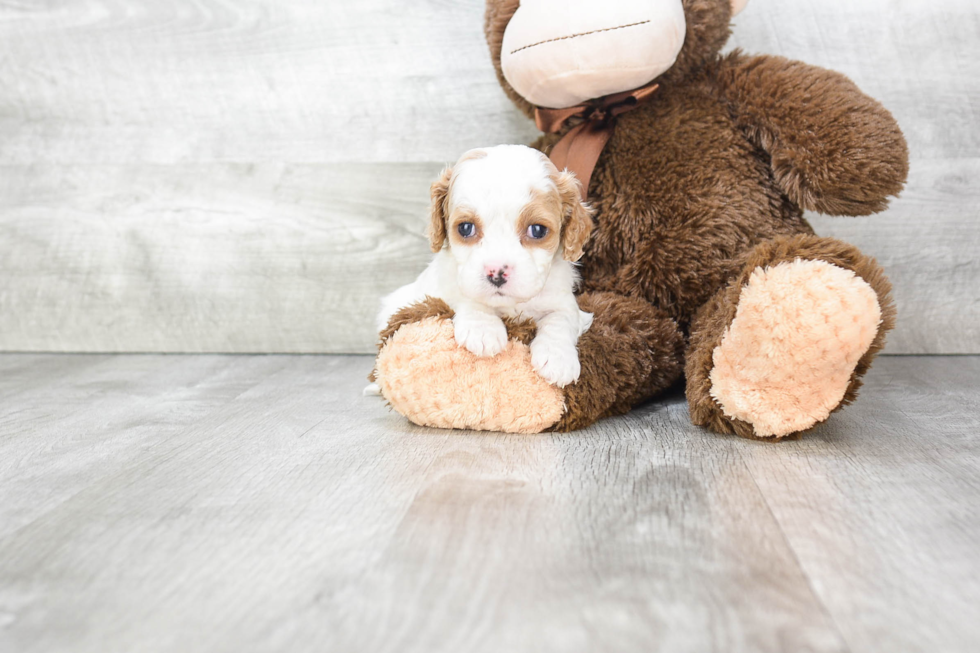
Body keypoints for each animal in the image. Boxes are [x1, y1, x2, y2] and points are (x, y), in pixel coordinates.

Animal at [378, 144, 592, 388]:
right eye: (465, 228)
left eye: (537, 230)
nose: (496, 272)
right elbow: (467, 295)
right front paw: (482, 328)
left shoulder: (563, 299)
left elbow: (561, 318)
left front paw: (558, 358)